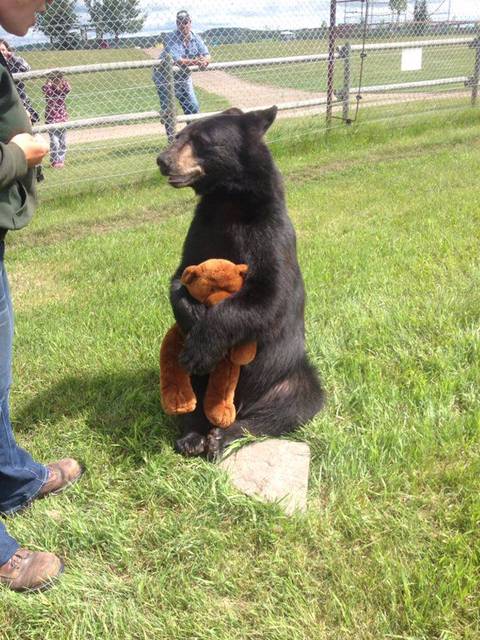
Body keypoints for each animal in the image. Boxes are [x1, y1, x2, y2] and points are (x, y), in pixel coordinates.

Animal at [156, 106, 324, 456]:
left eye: (201, 140)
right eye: (179, 135)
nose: (162, 160)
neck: (228, 201)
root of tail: (243, 403)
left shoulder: (269, 232)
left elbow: (268, 293)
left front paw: (202, 344)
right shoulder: (202, 230)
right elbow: (180, 277)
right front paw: (193, 317)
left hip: (289, 376)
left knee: (293, 405)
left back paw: (223, 435)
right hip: (194, 380)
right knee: (191, 396)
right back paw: (192, 436)